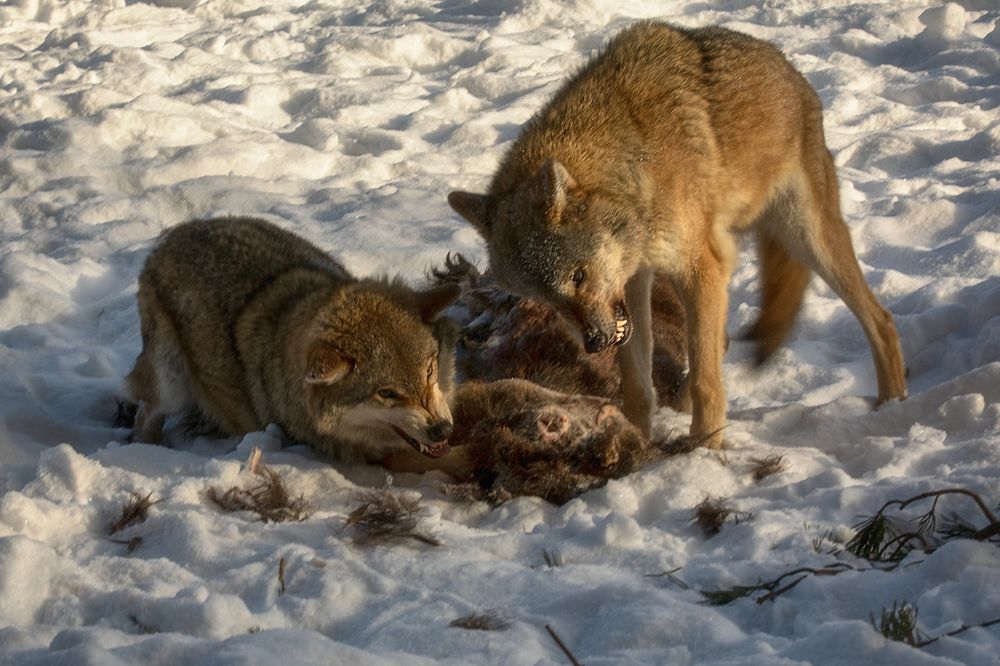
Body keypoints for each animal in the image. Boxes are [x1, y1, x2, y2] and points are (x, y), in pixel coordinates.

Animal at [124, 216, 460, 465]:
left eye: (429, 371)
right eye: (386, 393)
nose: (442, 430)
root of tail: (171, 236)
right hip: (171, 386)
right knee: (145, 413)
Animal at [448, 21, 907, 447]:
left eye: (577, 276)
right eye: (547, 299)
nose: (594, 342)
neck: (636, 164)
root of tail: (792, 72)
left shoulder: (698, 269)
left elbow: (707, 382)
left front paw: (705, 450)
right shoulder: (633, 284)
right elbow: (638, 383)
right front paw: (637, 439)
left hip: (806, 237)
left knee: (880, 319)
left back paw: (892, 406)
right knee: (721, 342)